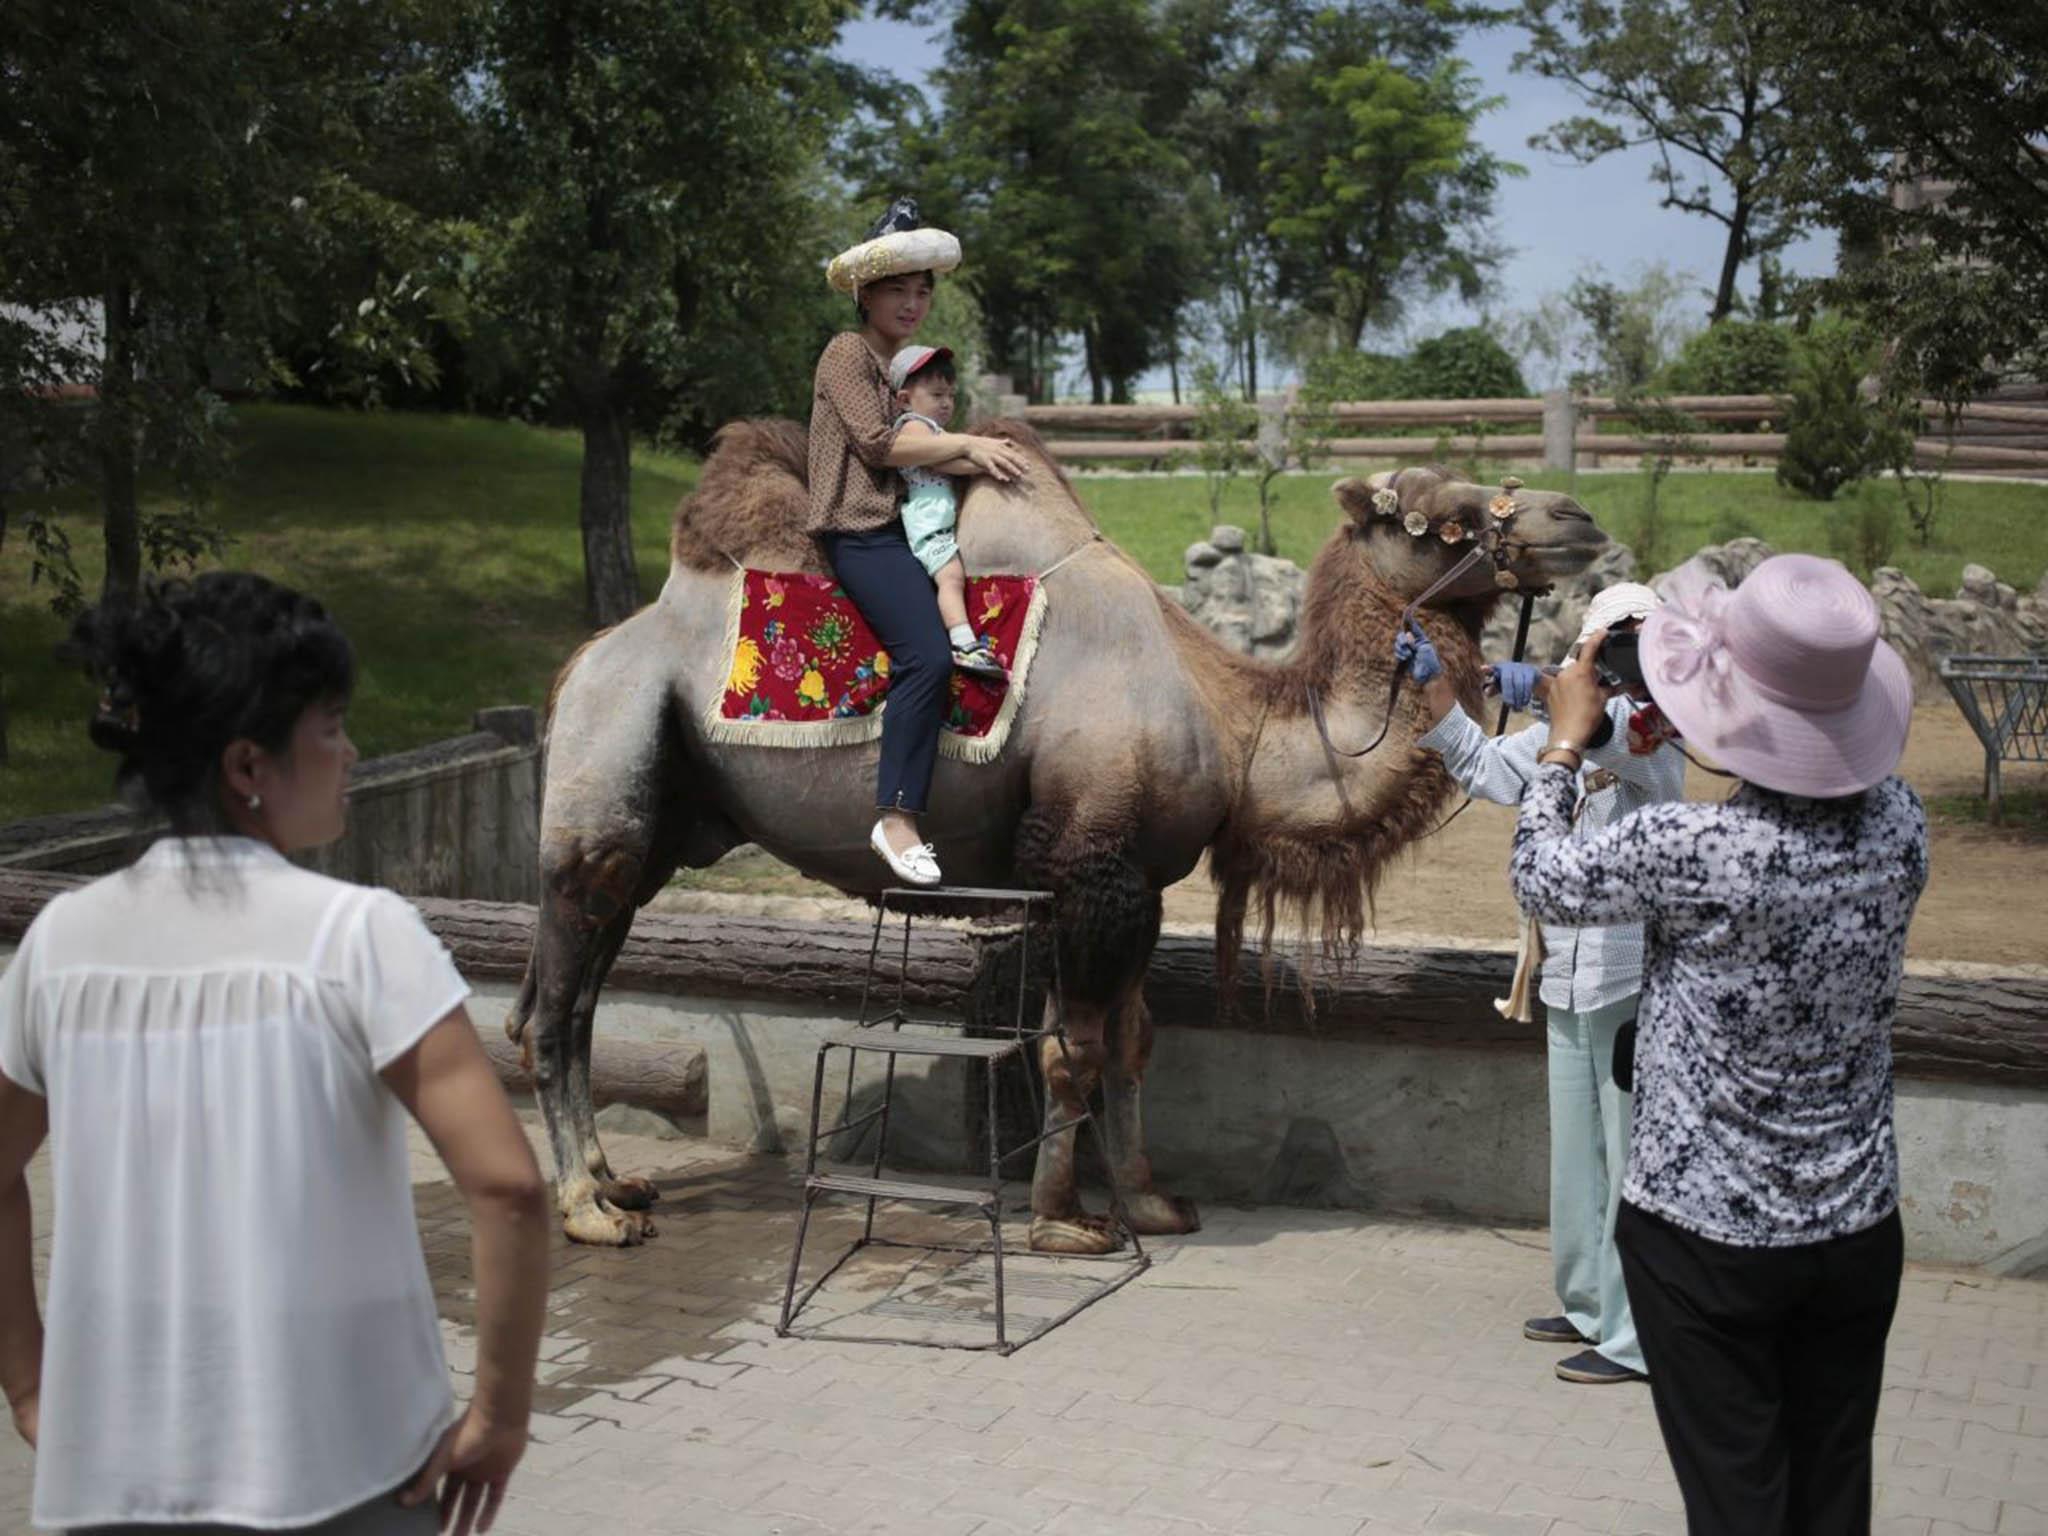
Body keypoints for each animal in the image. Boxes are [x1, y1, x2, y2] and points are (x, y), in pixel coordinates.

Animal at [503, 421, 1605, 1253]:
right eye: (1439, 516)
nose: (1580, 519)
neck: (1232, 720)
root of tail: (576, 664)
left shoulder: (1137, 877)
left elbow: (1131, 1042)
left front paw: (1153, 1201)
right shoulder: (1087, 862)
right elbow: (1070, 1052)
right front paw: (1061, 1223)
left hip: (659, 828)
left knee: (582, 999)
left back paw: (620, 1183)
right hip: (605, 783)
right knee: (555, 1012)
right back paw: (588, 1212)